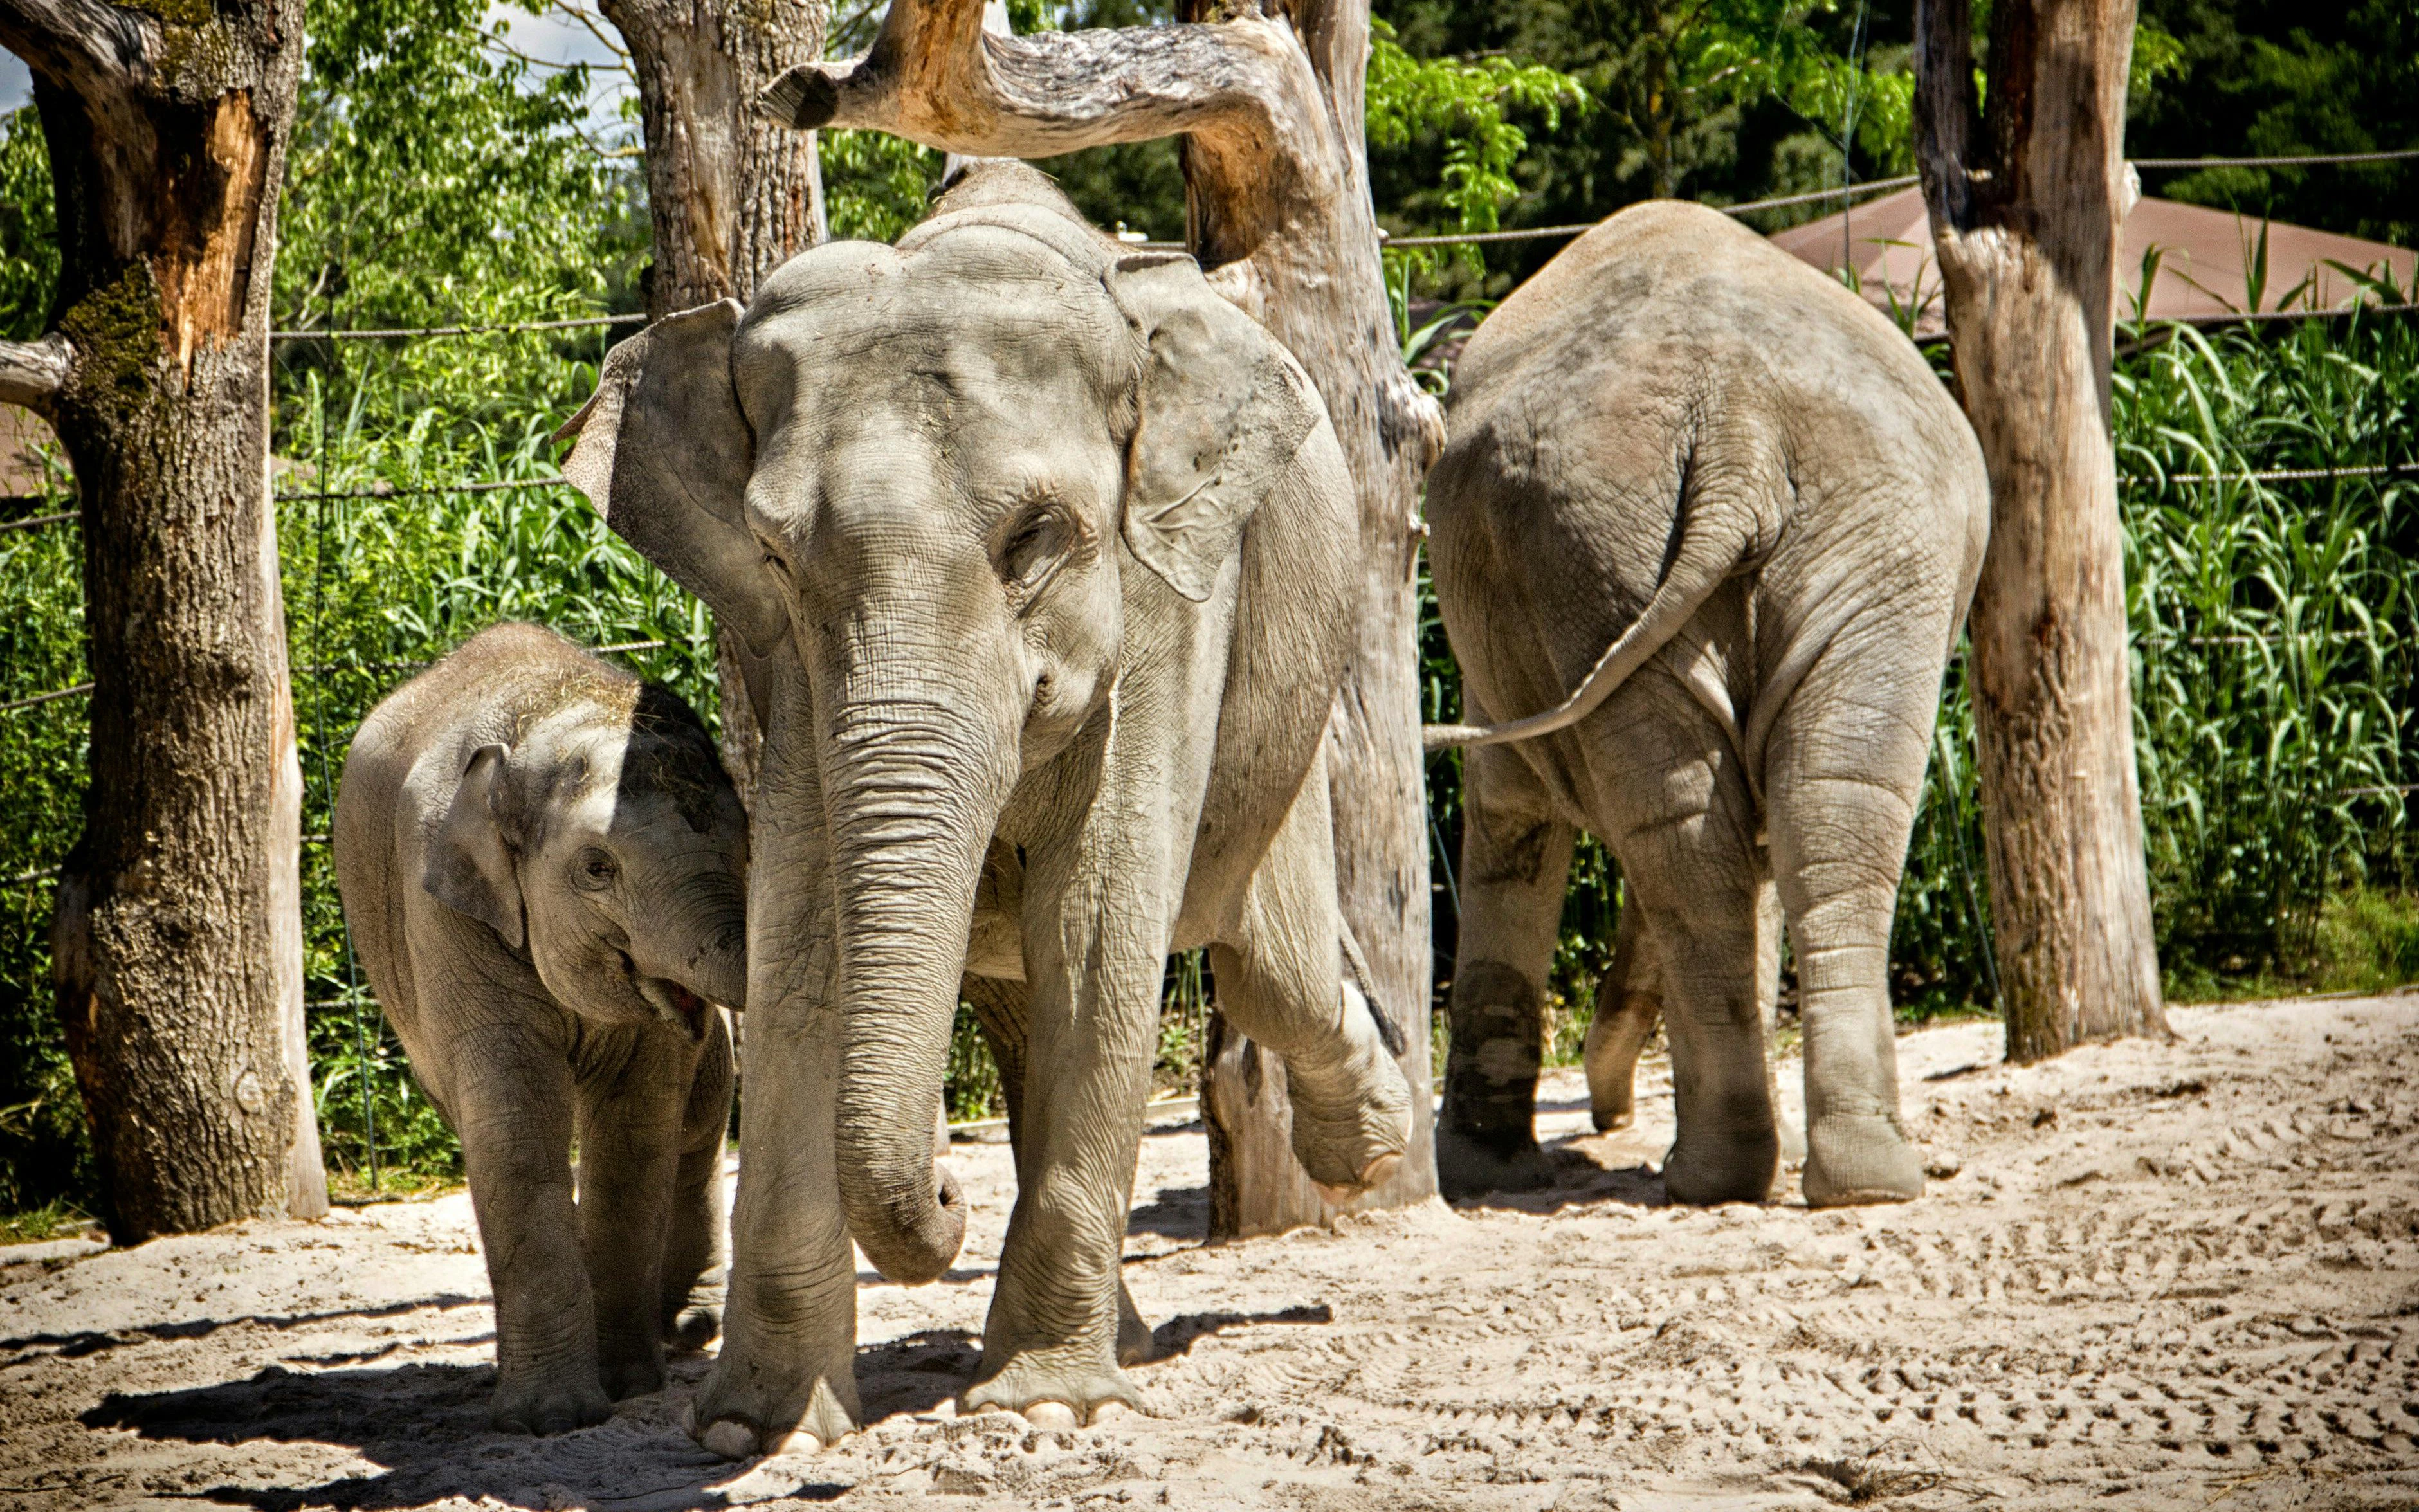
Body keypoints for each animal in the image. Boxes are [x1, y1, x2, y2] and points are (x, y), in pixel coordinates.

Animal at [333, 622, 749, 1434]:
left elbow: (636, 1132)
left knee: (696, 1123)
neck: (548, 718)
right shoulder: (445, 914)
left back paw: (688, 1326)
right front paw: (549, 1417)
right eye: (596, 867)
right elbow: (514, 1124)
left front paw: (626, 1386)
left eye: (748, 842)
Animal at [555, 160, 1415, 1453]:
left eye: (1035, 538)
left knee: (1269, 966)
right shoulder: (796, 678)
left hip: (1285, 724)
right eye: (772, 552)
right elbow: (801, 950)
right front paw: (757, 1432)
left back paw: (1368, 1146)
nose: (949, 1186)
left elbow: (1100, 932)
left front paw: (1051, 1410)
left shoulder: (1165, 605)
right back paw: (1133, 1330)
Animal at [1423, 200, 1989, 1209]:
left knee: (1701, 833)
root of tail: (1737, 426)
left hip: (1636, 558)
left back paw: (1719, 1176)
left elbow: (1512, 824)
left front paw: (1483, 1176)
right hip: (1840, 543)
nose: (1607, 1115)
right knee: (1821, 808)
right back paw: (1851, 1178)